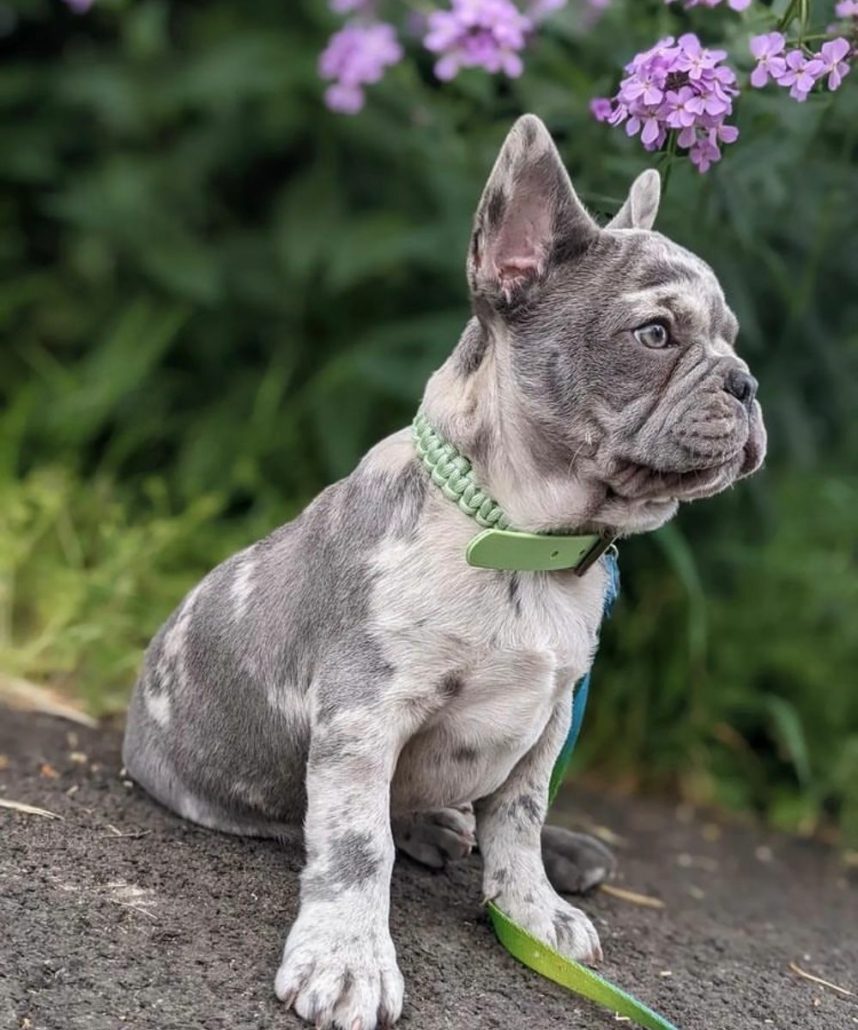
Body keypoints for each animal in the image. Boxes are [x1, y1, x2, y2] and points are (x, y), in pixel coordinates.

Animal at [120, 116, 762, 1030]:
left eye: (732, 339)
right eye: (655, 335)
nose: (746, 383)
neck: (520, 538)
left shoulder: (550, 717)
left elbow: (521, 819)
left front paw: (531, 909)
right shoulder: (365, 714)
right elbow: (357, 842)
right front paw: (347, 958)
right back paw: (428, 834)